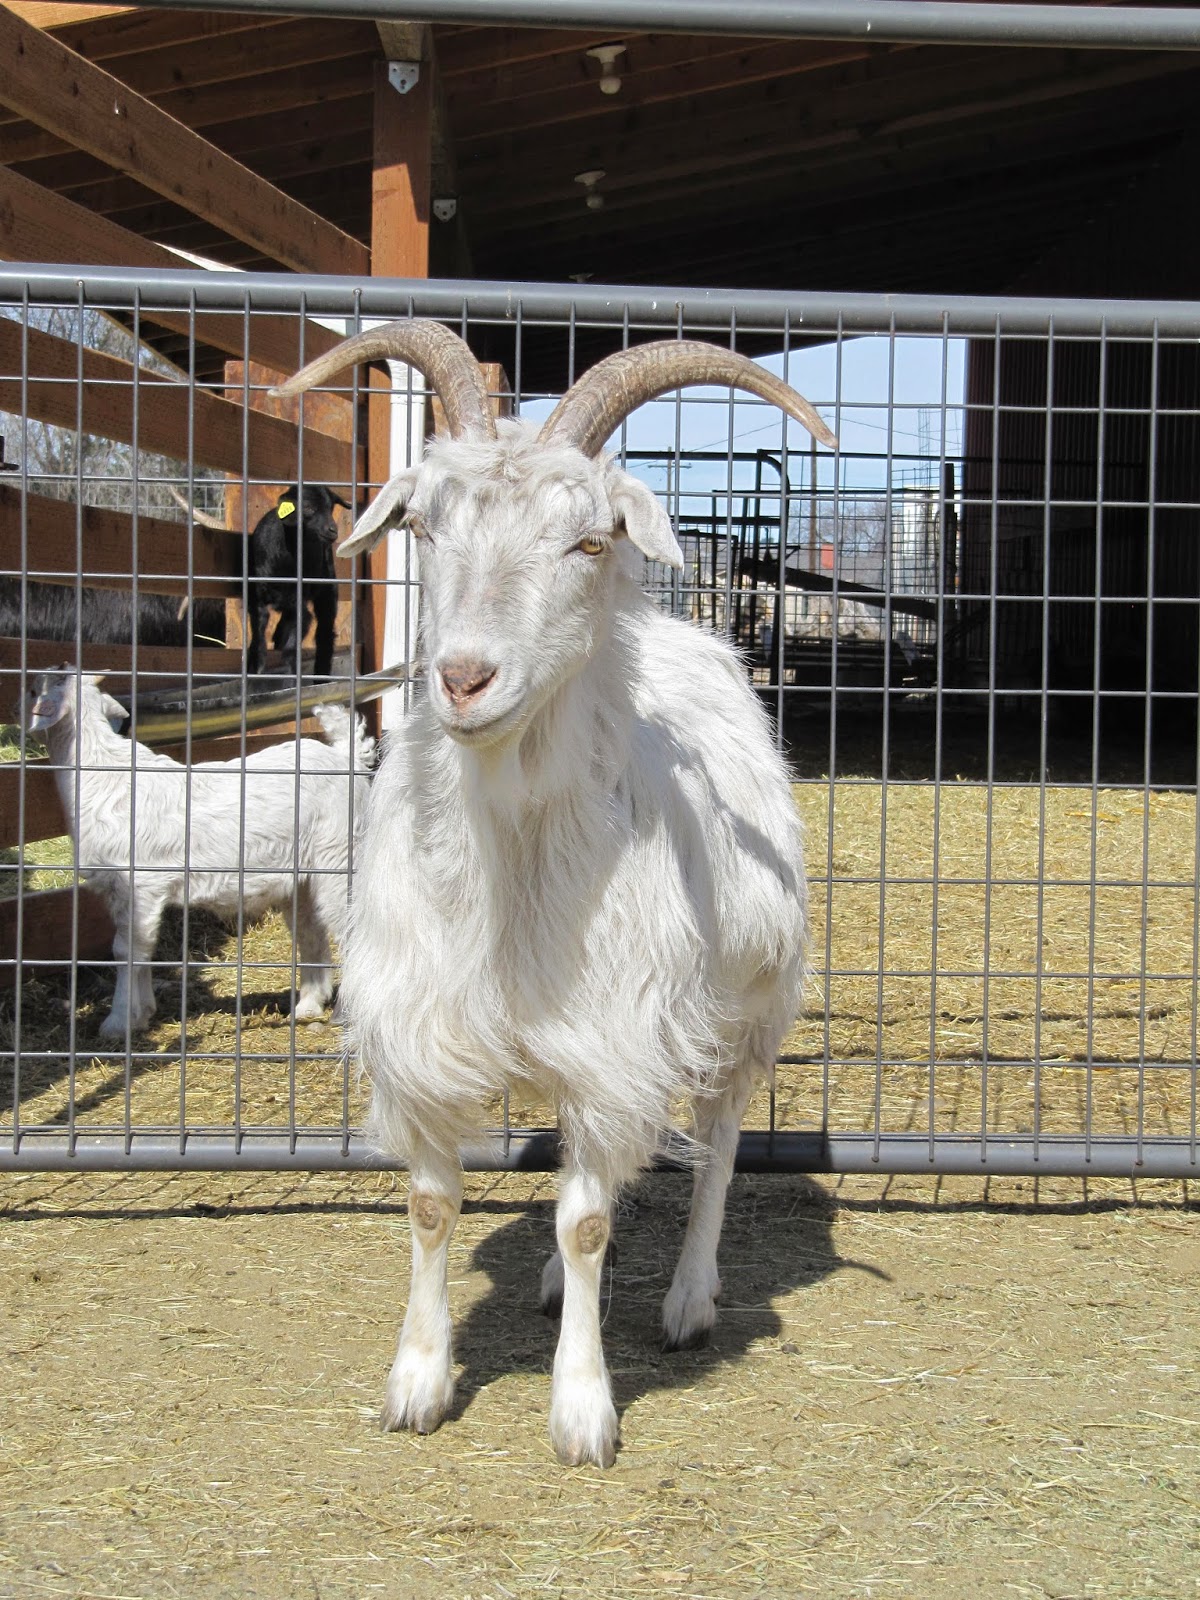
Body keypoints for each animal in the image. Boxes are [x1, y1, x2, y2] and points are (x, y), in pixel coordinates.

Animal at [22, 669, 374, 1039]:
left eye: (32, 690)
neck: (102, 775)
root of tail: (347, 759)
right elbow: (141, 948)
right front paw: (142, 1013)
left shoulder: (140, 884)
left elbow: (126, 949)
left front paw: (118, 1022)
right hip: (303, 879)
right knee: (310, 931)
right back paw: (308, 1006)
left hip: (340, 857)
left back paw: (346, 1015)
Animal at [244, 485, 349, 679]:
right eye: (308, 507)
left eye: (331, 508)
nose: (333, 530)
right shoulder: (257, 597)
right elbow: (258, 635)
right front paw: (254, 667)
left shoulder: (299, 602)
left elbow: (292, 646)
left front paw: (290, 674)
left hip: (327, 587)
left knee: (324, 631)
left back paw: (320, 675)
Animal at [274, 321, 835, 1467]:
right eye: (426, 524)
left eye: (587, 542)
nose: (465, 678)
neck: (513, 880)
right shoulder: (426, 1038)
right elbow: (434, 1206)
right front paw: (418, 1381)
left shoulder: (615, 1040)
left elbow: (587, 1218)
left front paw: (583, 1409)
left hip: (750, 1010)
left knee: (716, 1148)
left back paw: (688, 1300)